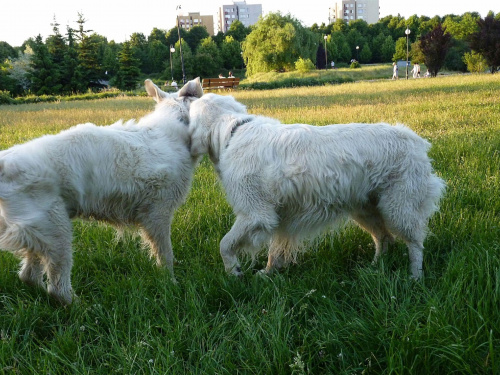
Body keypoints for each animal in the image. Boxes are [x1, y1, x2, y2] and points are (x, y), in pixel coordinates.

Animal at [0, 78, 203, 304]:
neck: (172, 130)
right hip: (56, 231)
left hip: (41, 233)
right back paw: (79, 305)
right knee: (57, 288)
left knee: (28, 276)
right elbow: (165, 254)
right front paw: (170, 282)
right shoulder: (158, 215)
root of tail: (4, 162)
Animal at [188, 93, 446, 280]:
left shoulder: (256, 215)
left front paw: (233, 272)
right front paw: (268, 274)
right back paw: (373, 269)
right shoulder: (278, 218)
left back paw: (415, 277)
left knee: (415, 243)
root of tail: (416, 140)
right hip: (366, 210)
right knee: (384, 239)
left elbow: (225, 244)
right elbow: (274, 251)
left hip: (398, 209)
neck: (234, 130)